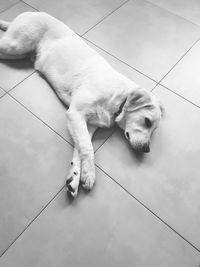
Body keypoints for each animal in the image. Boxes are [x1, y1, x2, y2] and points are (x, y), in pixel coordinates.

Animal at [0, 11, 162, 198]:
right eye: (147, 122)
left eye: (153, 129)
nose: (147, 149)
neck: (117, 99)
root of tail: (30, 13)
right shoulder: (75, 113)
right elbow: (87, 148)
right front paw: (89, 174)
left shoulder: (87, 125)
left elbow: (80, 149)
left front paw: (75, 178)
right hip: (15, 45)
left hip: (18, 53)